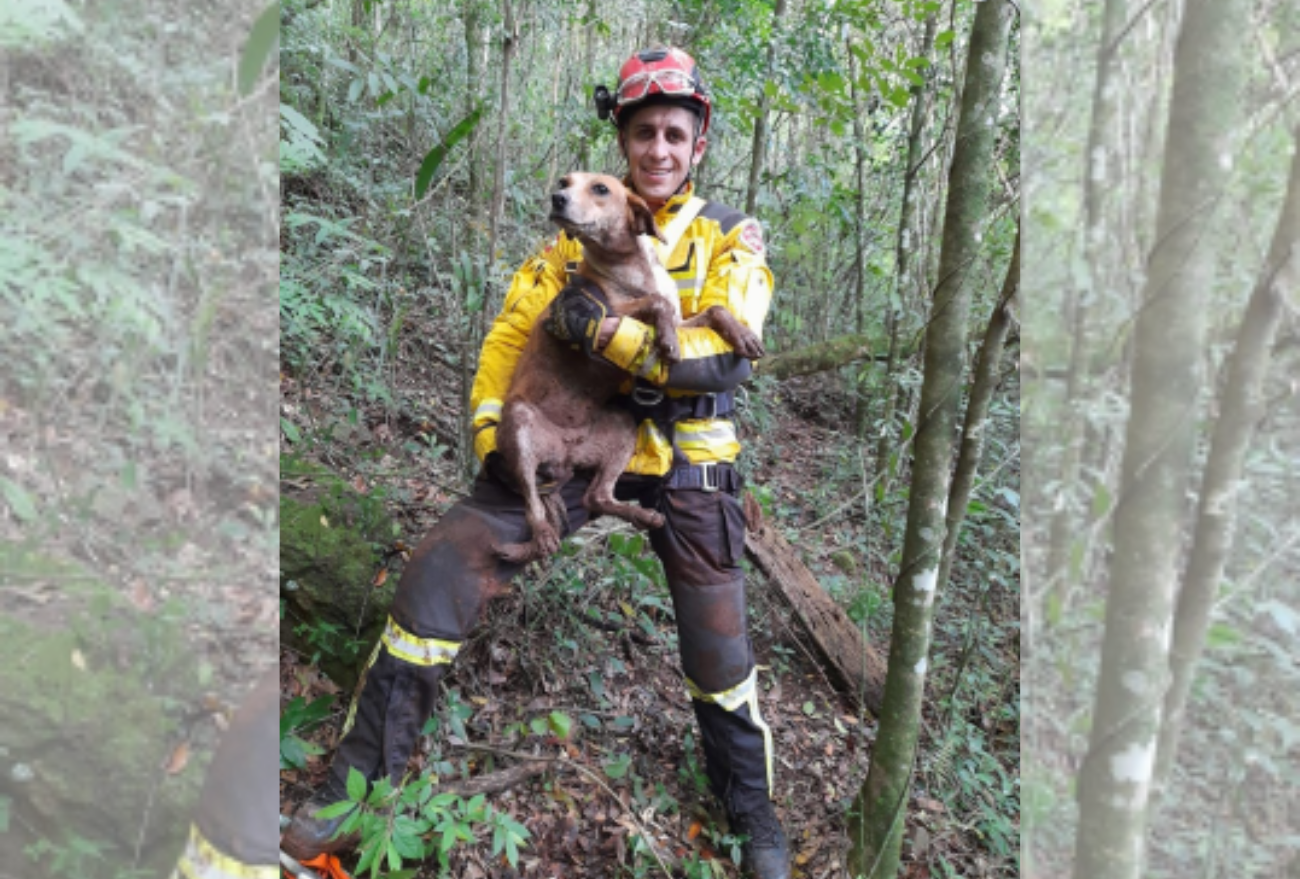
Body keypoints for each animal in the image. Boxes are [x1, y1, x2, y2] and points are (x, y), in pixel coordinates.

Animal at [493, 171, 759, 564]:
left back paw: (642, 515)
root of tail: (564, 454)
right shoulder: (608, 312)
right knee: (533, 506)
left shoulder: (681, 319)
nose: (557, 198)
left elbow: (715, 309)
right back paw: (541, 536)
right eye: (565, 181)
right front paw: (667, 340)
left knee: (596, 496)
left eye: (600, 188)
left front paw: (742, 334)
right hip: (520, 425)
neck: (632, 266)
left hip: (620, 428)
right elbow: (656, 303)